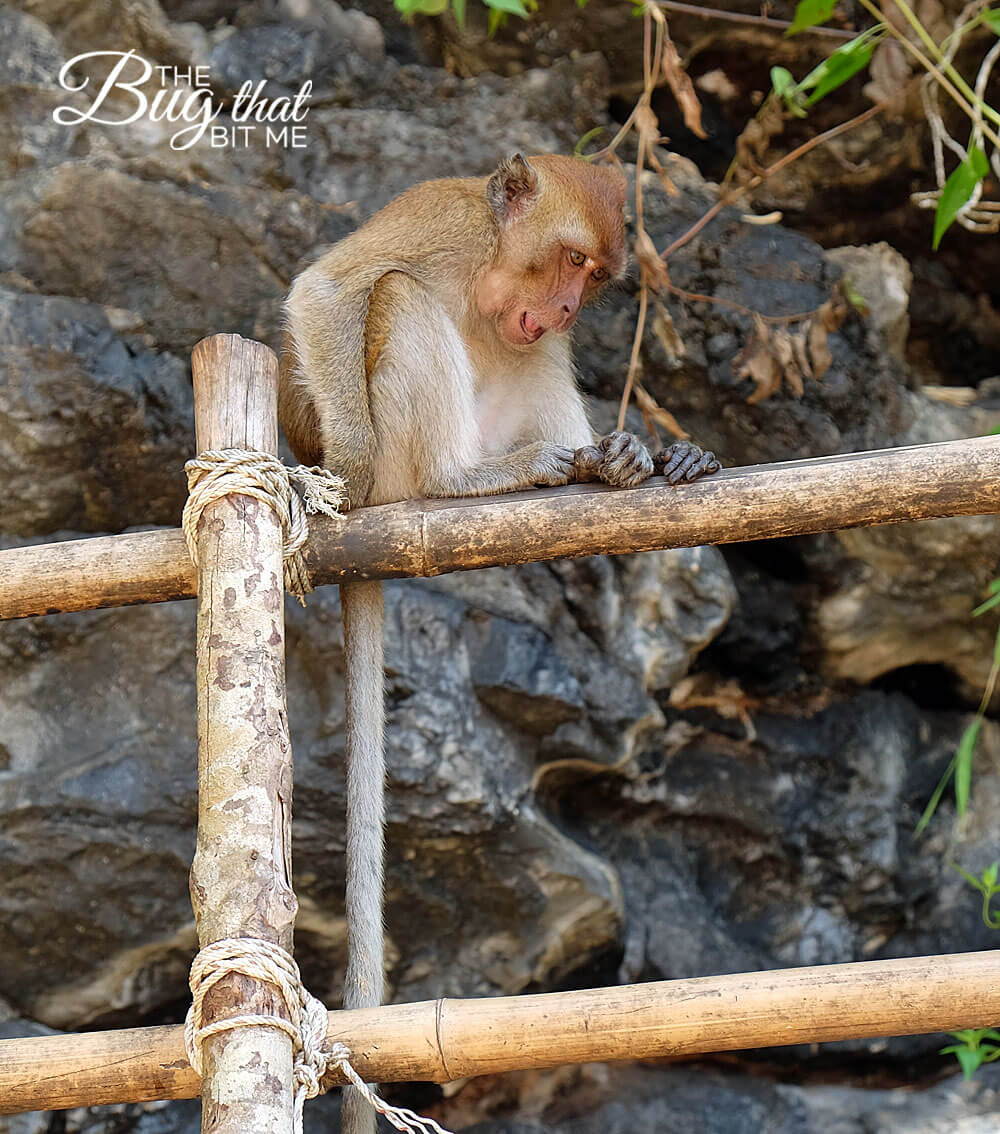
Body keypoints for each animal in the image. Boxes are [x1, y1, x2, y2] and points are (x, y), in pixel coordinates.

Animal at [281, 153, 716, 1134]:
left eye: (594, 278)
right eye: (569, 259)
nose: (565, 308)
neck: (489, 267)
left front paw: (648, 456)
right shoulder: (443, 225)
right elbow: (329, 290)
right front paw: (343, 467)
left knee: (531, 359)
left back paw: (607, 462)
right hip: (407, 463)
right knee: (396, 299)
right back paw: (463, 480)